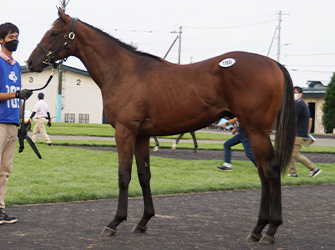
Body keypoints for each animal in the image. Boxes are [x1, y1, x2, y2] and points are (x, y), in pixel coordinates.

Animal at [27, 8, 296, 245]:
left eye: (53, 33)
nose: (31, 62)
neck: (124, 71)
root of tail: (274, 64)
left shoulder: (124, 132)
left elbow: (124, 175)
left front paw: (115, 222)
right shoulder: (142, 136)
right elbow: (144, 175)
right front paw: (143, 221)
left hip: (256, 130)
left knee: (271, 170)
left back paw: (270, 230)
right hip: (252, 131)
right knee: (262, 173)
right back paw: (258, 229)